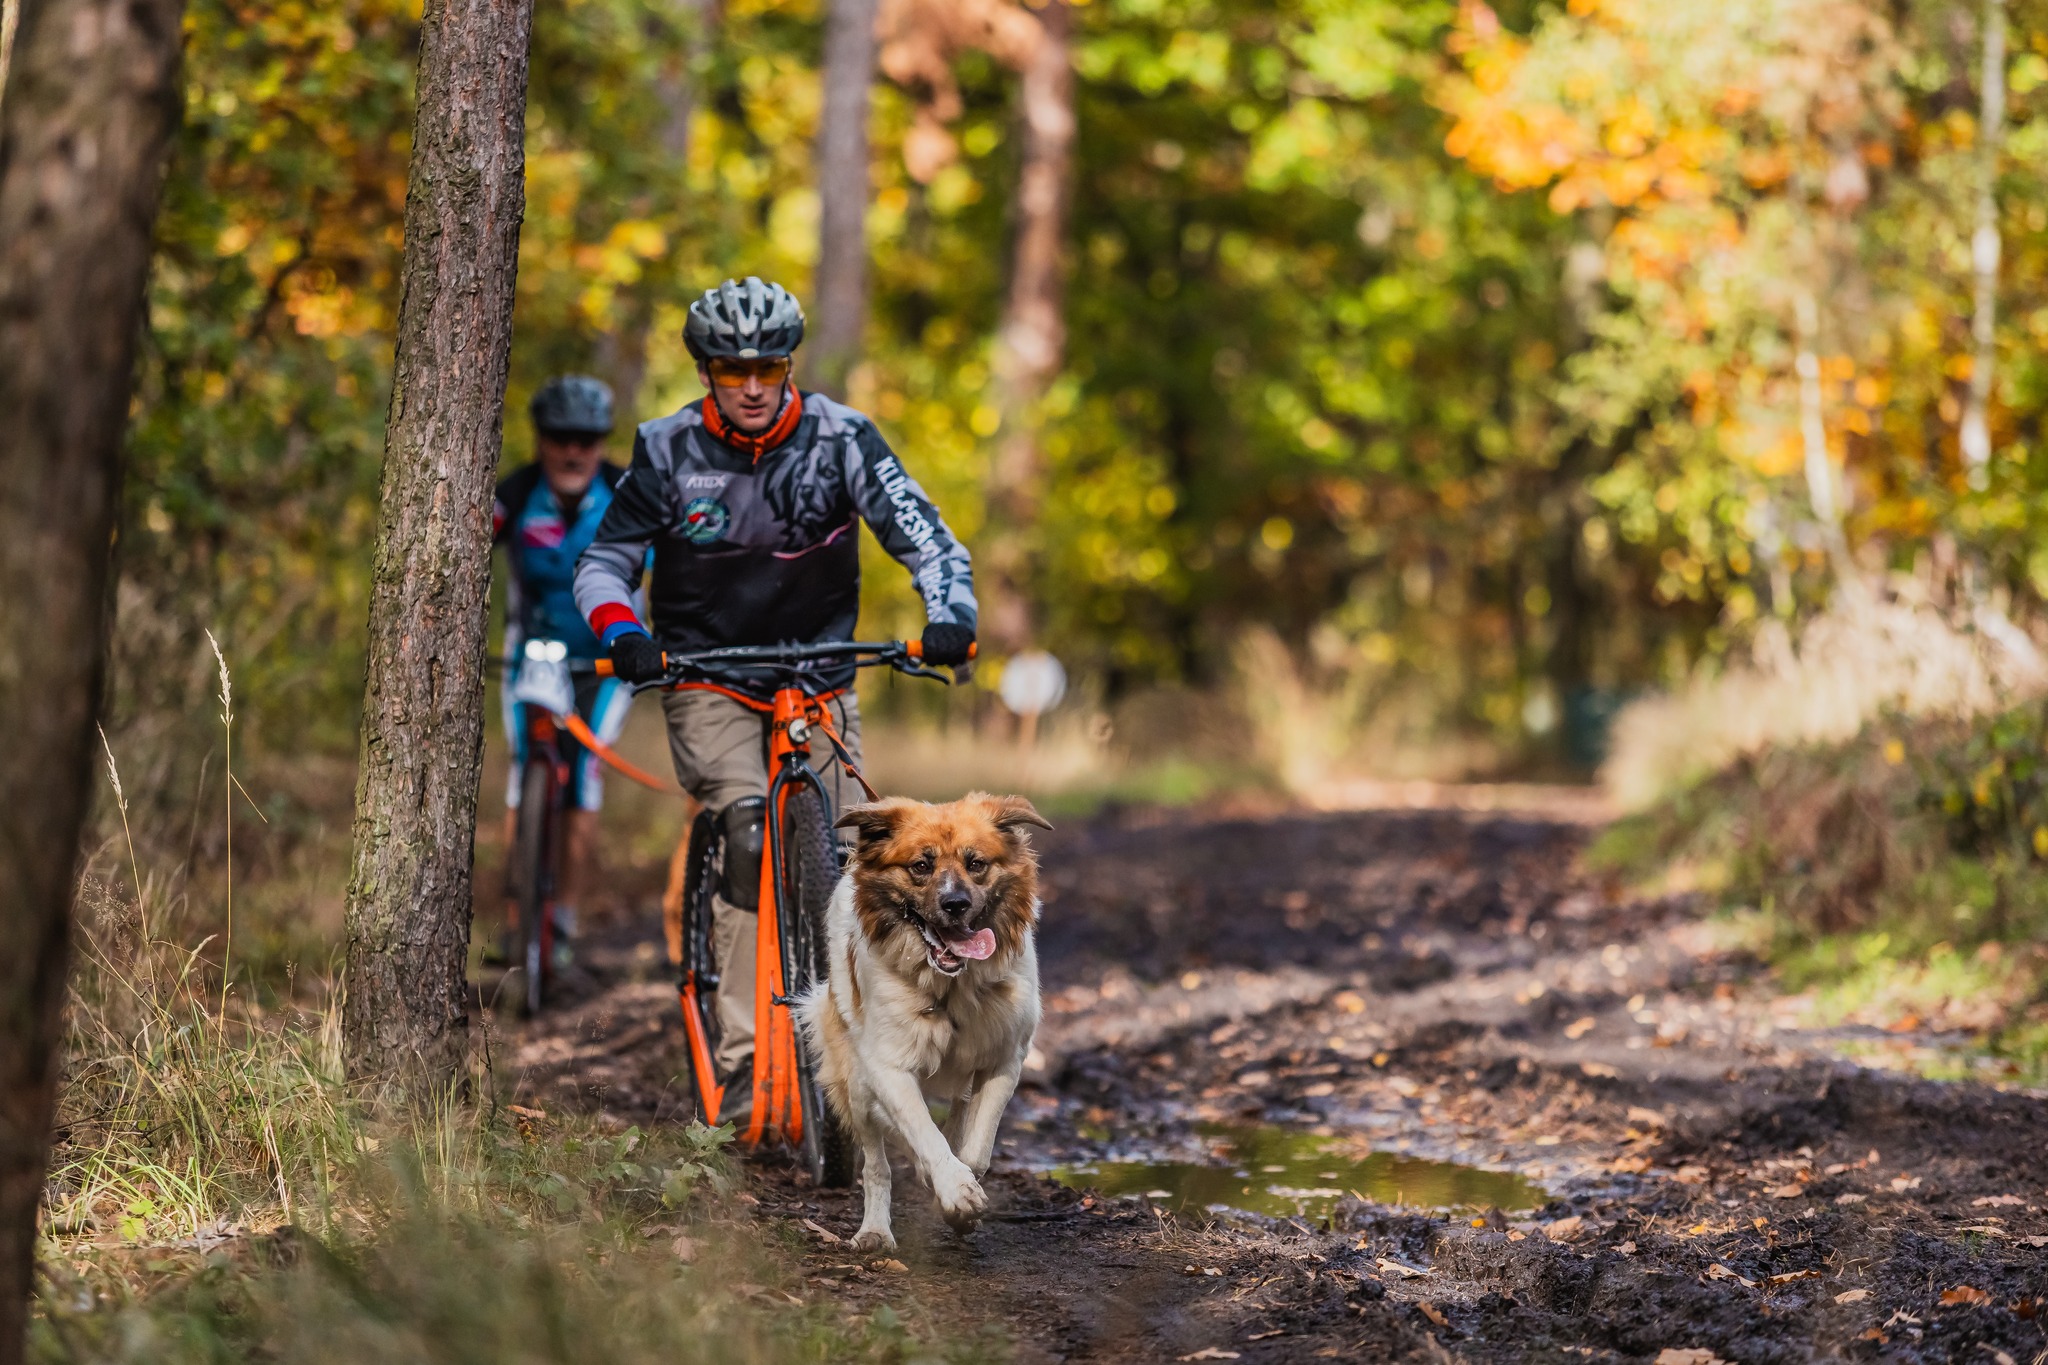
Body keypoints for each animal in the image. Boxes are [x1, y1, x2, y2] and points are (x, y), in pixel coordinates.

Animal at [798, 789, 1056, 1252]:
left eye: (976, 863)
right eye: (921, 866)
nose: (956, 904)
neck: (953, 986)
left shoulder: (1004, 1058)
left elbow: (975, 1147)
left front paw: (958, 1186)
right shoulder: (888, 1067)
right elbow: (924, 1134)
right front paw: (955, 1190)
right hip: (855, 1080)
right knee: (876, 1163)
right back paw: (875, 1230)